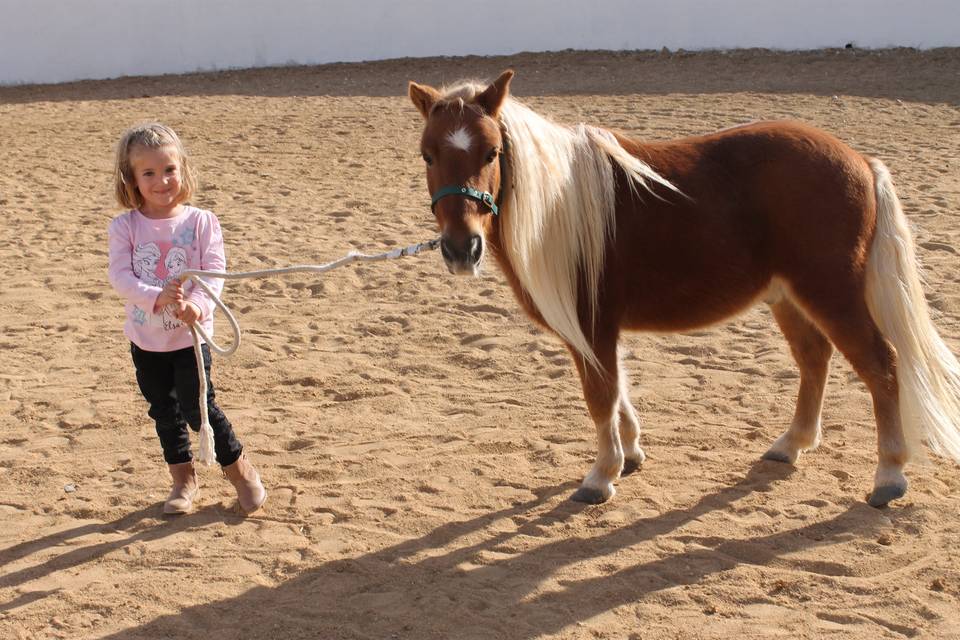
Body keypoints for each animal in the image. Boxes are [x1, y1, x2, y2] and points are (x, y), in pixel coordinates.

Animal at [406, 70, 960, 508]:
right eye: (428, 155)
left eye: (492, 151)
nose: (461, 248)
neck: (561, 207)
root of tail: (862, 162)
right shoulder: (599, 333)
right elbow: (618, 391)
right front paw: (630, 454)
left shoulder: (591, 326)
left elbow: (601, 397)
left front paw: (601, 476)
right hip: (789, 297)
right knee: (814, 359)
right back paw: (791, 444)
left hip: (832, 294)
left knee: (881, 366)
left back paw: (889, 475)